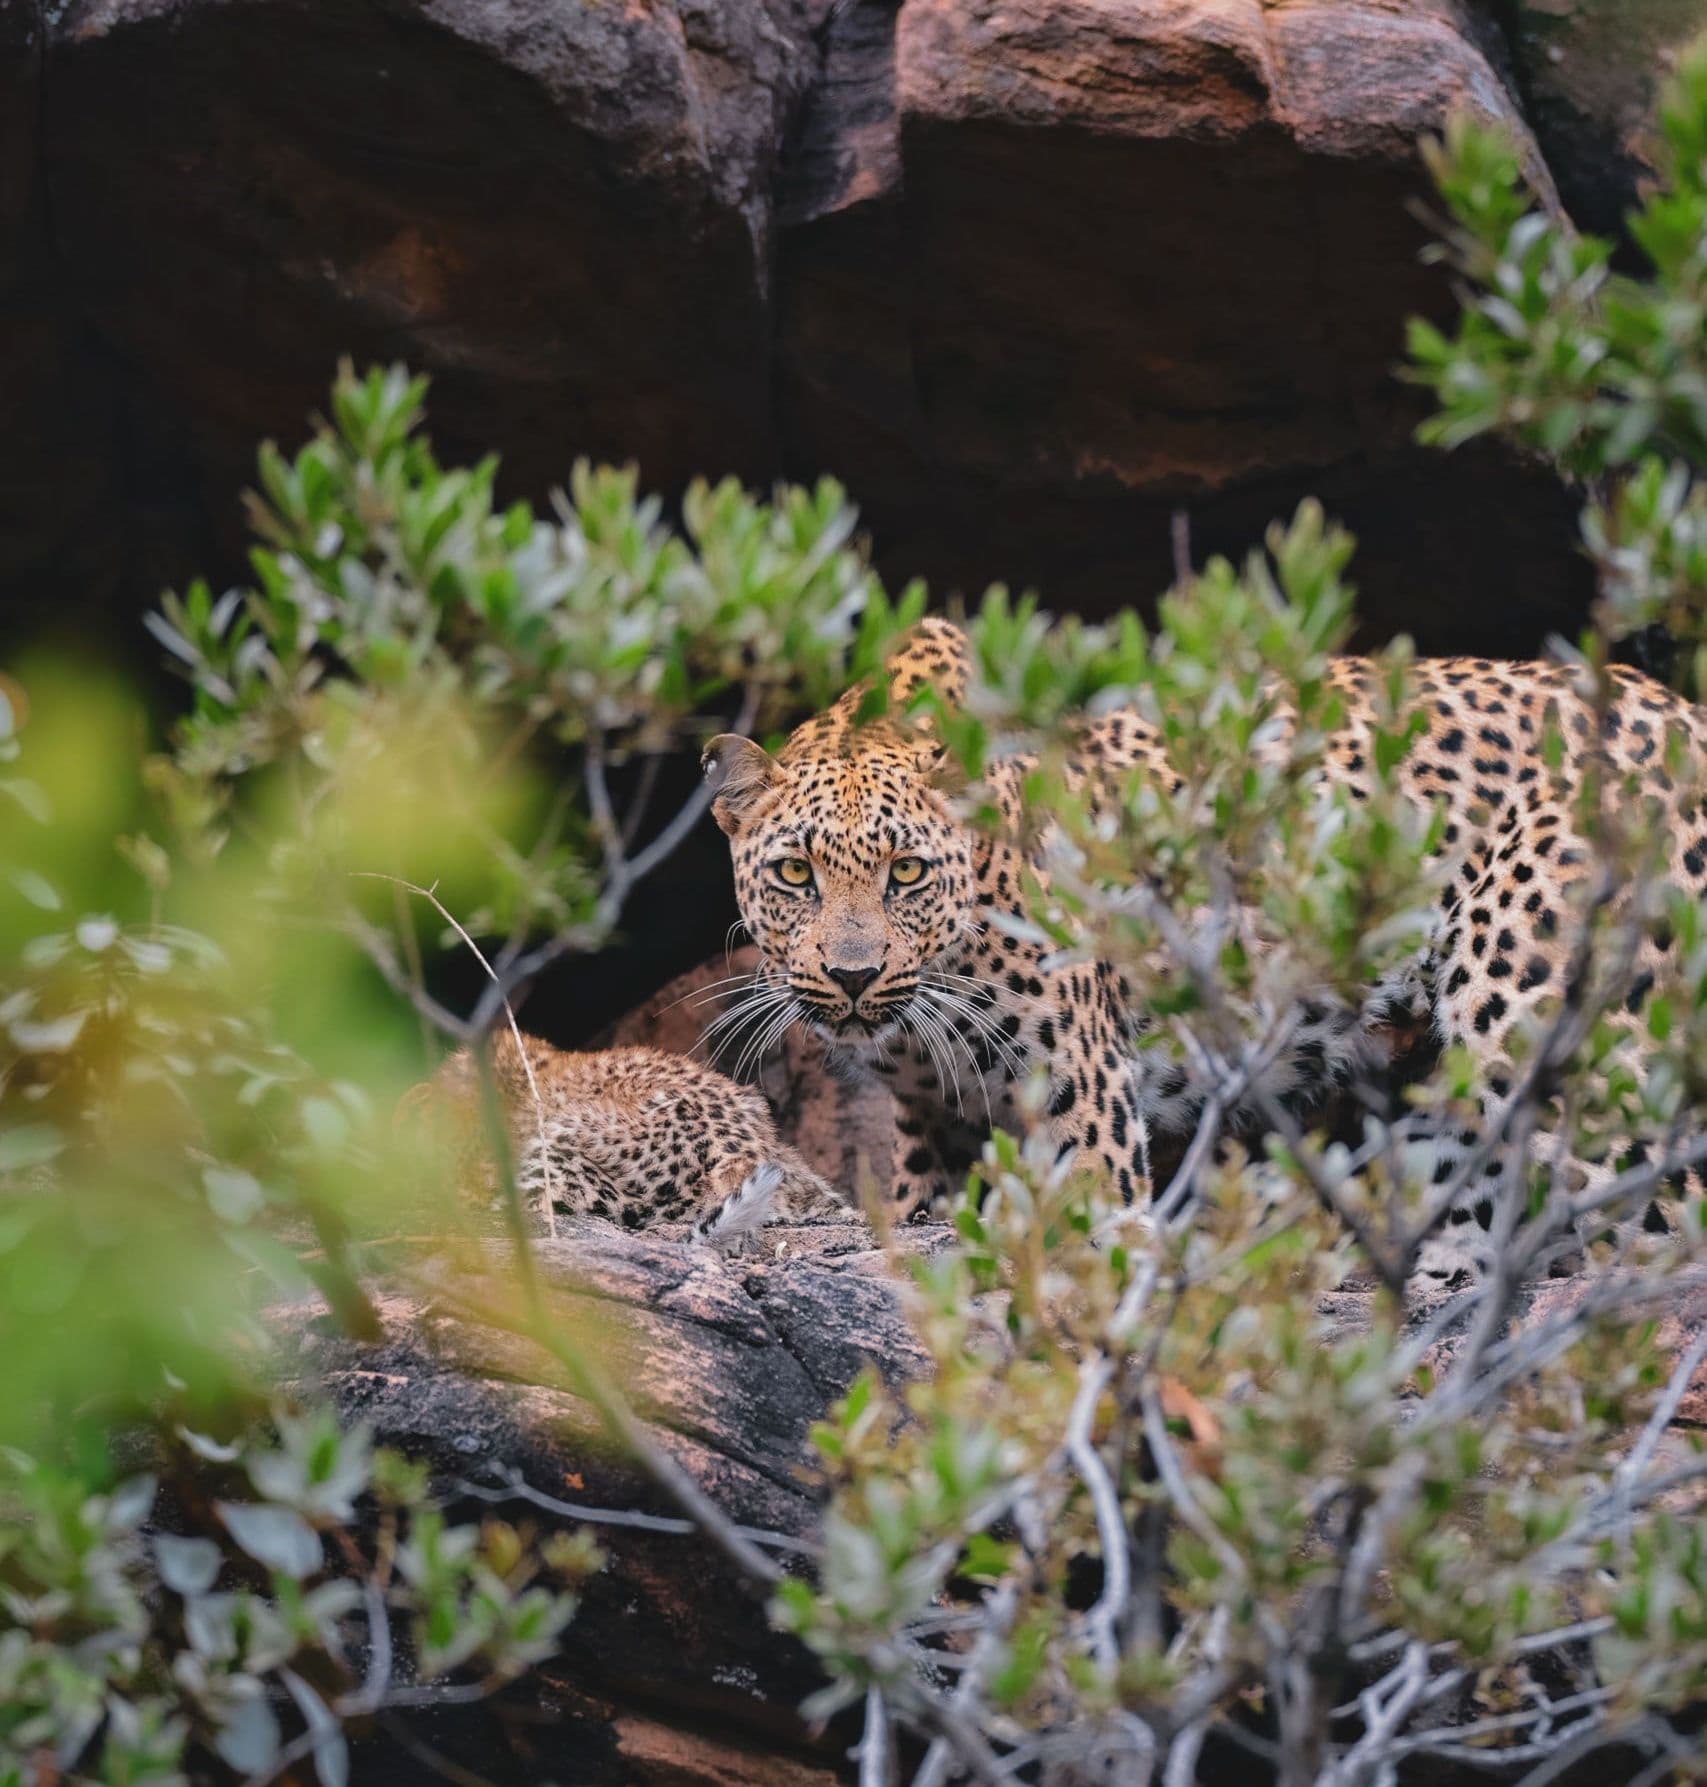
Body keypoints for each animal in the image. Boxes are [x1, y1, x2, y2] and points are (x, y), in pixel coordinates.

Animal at [702, 616, 1707, 1285]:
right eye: (794, 873)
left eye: (905, 872)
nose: (853, 976)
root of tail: (1680, 709)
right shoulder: (934, 1125)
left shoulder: (1085, 1104)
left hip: (1531, 1008)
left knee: (1656, 1222)